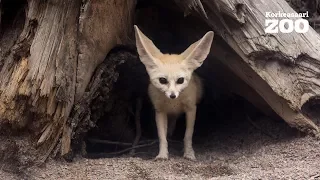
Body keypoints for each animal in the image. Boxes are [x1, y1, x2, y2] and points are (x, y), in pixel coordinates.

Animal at [134, 25, 214, 160]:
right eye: (162, 80)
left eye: (180, 80)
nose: (172, 95)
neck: (173, 104)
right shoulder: (160, 111)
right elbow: (162, 137)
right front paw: (162, 155)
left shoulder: (191, 109)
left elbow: (188, 135)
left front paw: (189, 153)